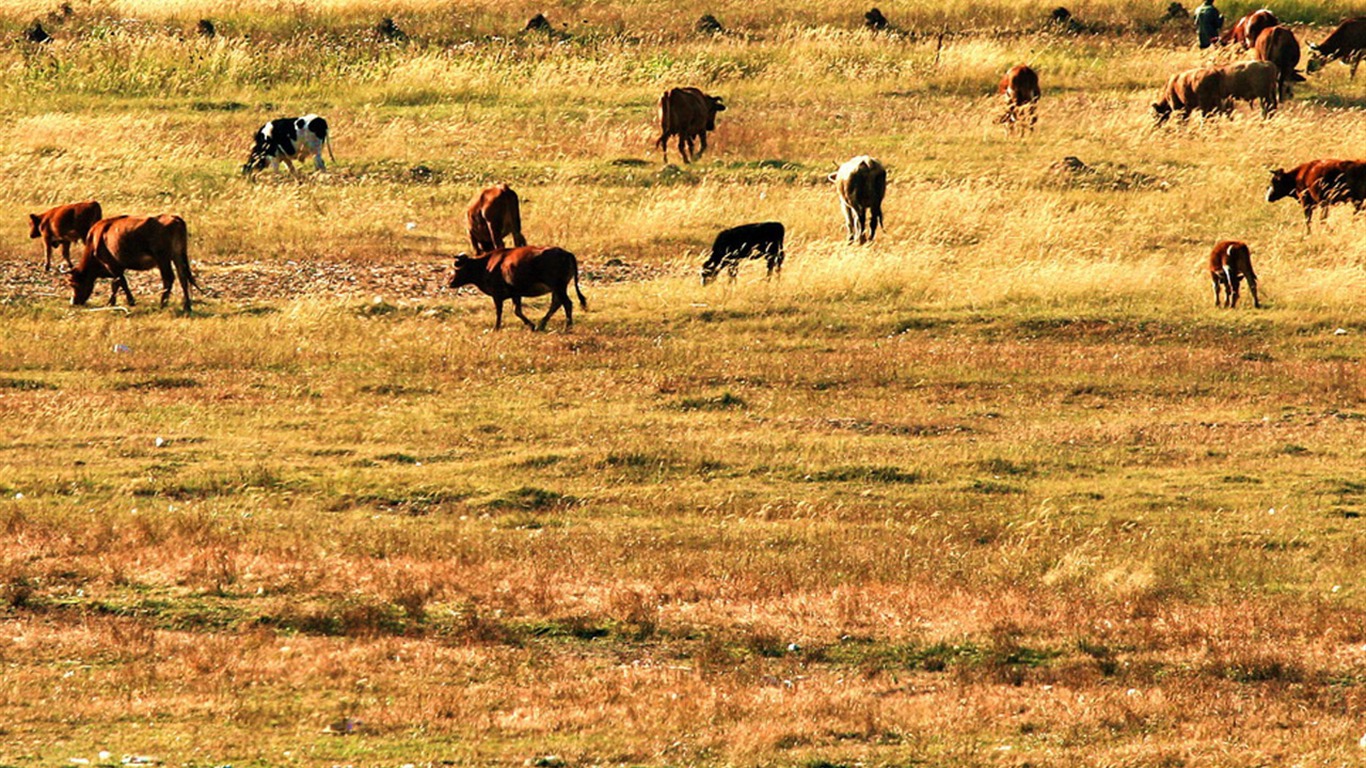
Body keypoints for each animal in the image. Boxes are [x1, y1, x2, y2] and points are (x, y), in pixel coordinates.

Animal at [69, 213, 199, 312]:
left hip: (163, 258)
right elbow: (116, 284)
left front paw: (130, 301)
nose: (74, 302)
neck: (95, 240)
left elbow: (121, 282)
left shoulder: (111, 264)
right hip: (178, 256)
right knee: (183, 277)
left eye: (74, 284)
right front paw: (111, 302)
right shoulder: (118, 266)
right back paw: (187, 306)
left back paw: (162, 304)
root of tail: (174, 218)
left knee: (168, 278)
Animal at [448, 244, 587, 329]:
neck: (486, 265)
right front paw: (531, 326)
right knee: (556, 303)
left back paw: (567, 327)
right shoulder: (516, 294)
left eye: (456, 267)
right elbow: (517, 311)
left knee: (567, 303)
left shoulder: (497, 295)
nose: (449, 282)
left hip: (558, 287)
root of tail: (567, 253)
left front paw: (496, 327)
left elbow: (499, 311)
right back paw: (541, 325)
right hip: (556, 289)